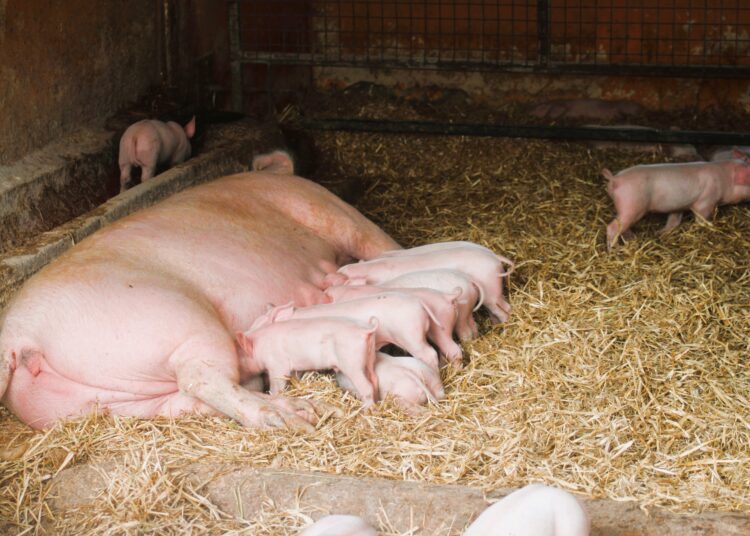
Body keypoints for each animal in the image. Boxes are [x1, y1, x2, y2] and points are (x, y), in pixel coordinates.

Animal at [236, 317, 379, 405]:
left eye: (239, 357)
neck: (259, 347)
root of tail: (365, 330)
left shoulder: (277, 364)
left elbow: (277, 385)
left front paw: (273, 394)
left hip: (352, 363)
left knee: (366, 386)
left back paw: (366, 409)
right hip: (370, 357)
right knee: (374, 379)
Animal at [603, 158, 750, 250]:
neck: (725, 178)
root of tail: (615, 178)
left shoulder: (678, 205)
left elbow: (674, 221)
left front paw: (660, 232)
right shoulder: (706, 201)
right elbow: (701, 218)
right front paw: (709, 227)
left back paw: (632, 240)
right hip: (632, 205)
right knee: (612, 227)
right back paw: (615, 250)